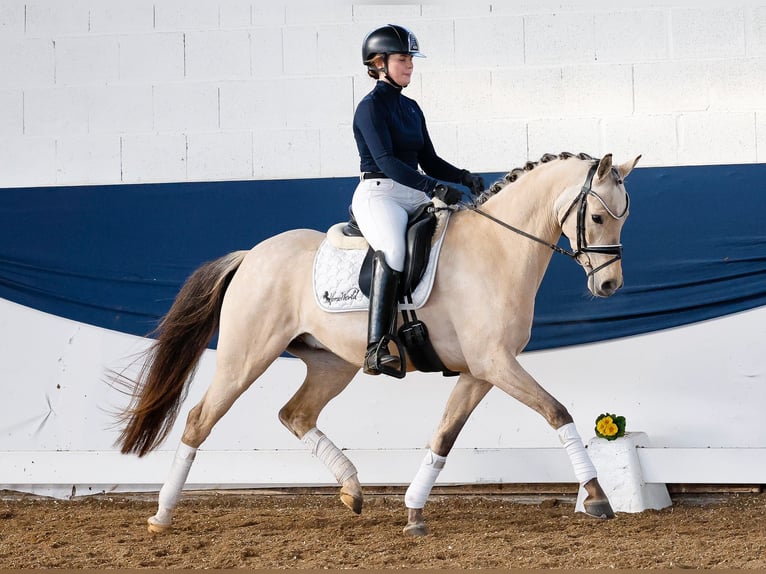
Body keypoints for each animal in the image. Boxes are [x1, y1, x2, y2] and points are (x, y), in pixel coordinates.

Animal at [114, 151, 640, 536]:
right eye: (597, 216)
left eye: (624, 218)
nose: (609, 285)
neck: (498, 249)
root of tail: (252, 256)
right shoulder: (495, 363)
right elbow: (556, 411)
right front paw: (597, 497)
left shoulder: (480, 370)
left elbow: (443, 436)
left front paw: (413, 513)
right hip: (246, 357)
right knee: (200, 420)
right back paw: (161, 516)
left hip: (331, 363)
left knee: (295, 414)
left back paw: (352, 489)